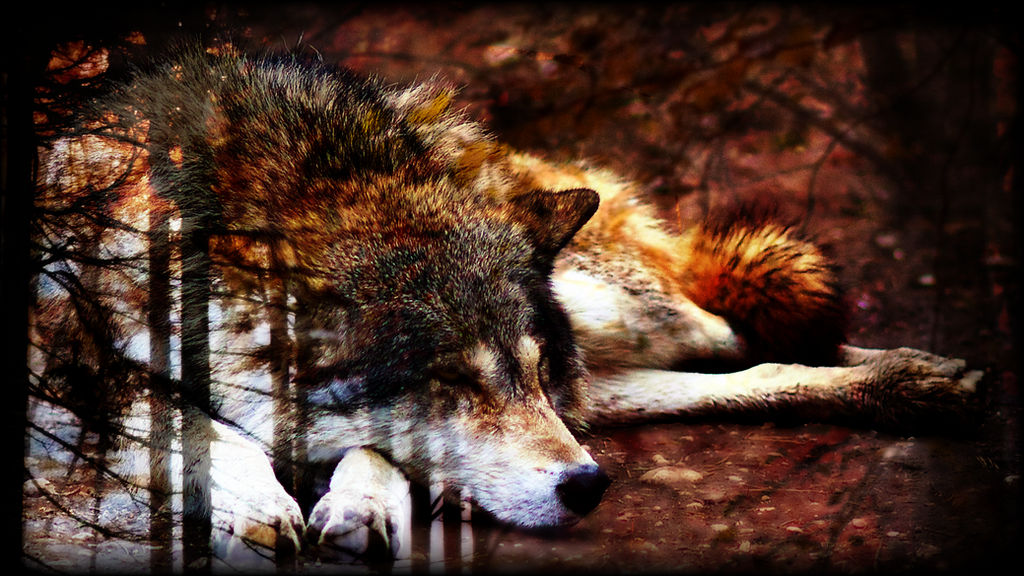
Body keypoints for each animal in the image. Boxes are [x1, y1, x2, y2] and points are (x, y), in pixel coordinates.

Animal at [30, 45, 982, 569]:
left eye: (518, 374)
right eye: (454, 383)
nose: (590, 485)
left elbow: (373, 448)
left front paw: (365, 506)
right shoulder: (63, 384)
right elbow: (197, 426)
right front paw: (261, 507)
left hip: (626, 319)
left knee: (736, 338)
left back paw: (920, 378)